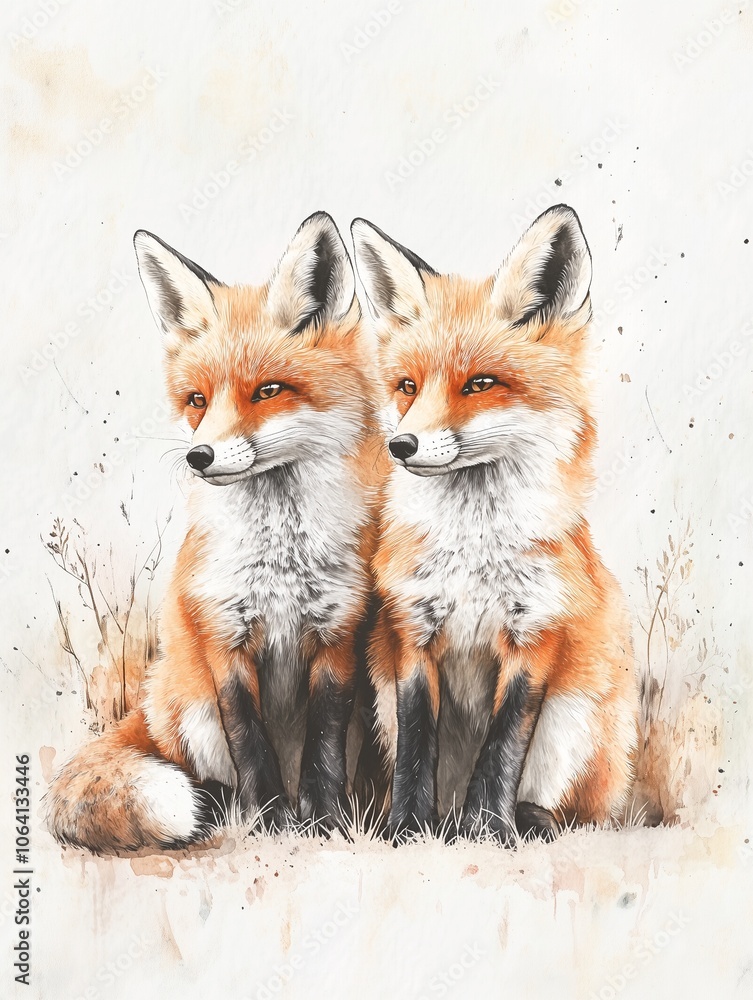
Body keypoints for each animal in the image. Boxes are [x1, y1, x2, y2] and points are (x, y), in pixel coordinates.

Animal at [44, 211, 382, 852]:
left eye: (268, 391)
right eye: (197, 400)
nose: (199, 456)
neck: (281, 559)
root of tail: (147, 703)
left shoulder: (338, 637)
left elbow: (324, 750)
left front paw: (325, 824)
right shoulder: (224, 639)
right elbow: (251, 747)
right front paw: (271, 824)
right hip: (191, 708)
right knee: (203, 772)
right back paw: (223, 810)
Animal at [351, 205, 639, 843]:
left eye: (480, 384)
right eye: (407, 387)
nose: (401, 445)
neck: (473, 552)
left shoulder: (535, 636)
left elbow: (503, 748)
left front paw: (487, 830)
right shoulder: (412, 632)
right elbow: (416, 748)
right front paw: (409, 831)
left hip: (576, 711)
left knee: (573, 809)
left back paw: (517, 821)